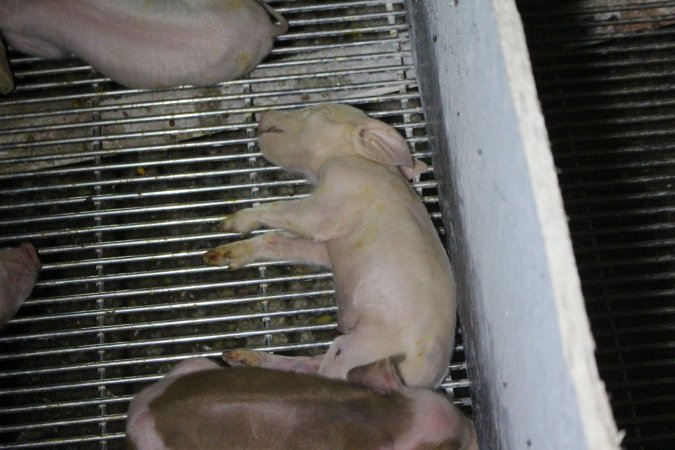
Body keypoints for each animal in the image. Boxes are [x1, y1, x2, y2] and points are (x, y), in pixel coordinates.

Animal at [205, 103, 460, 388]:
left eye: (320, 112)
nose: (261, 113)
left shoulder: (334, 198)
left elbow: (290, 213)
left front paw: (227, 223)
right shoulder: (328, 246)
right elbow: (281, 241)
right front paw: (217, 256)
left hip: (356, 349)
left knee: (325, 371)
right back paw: (238, 357)